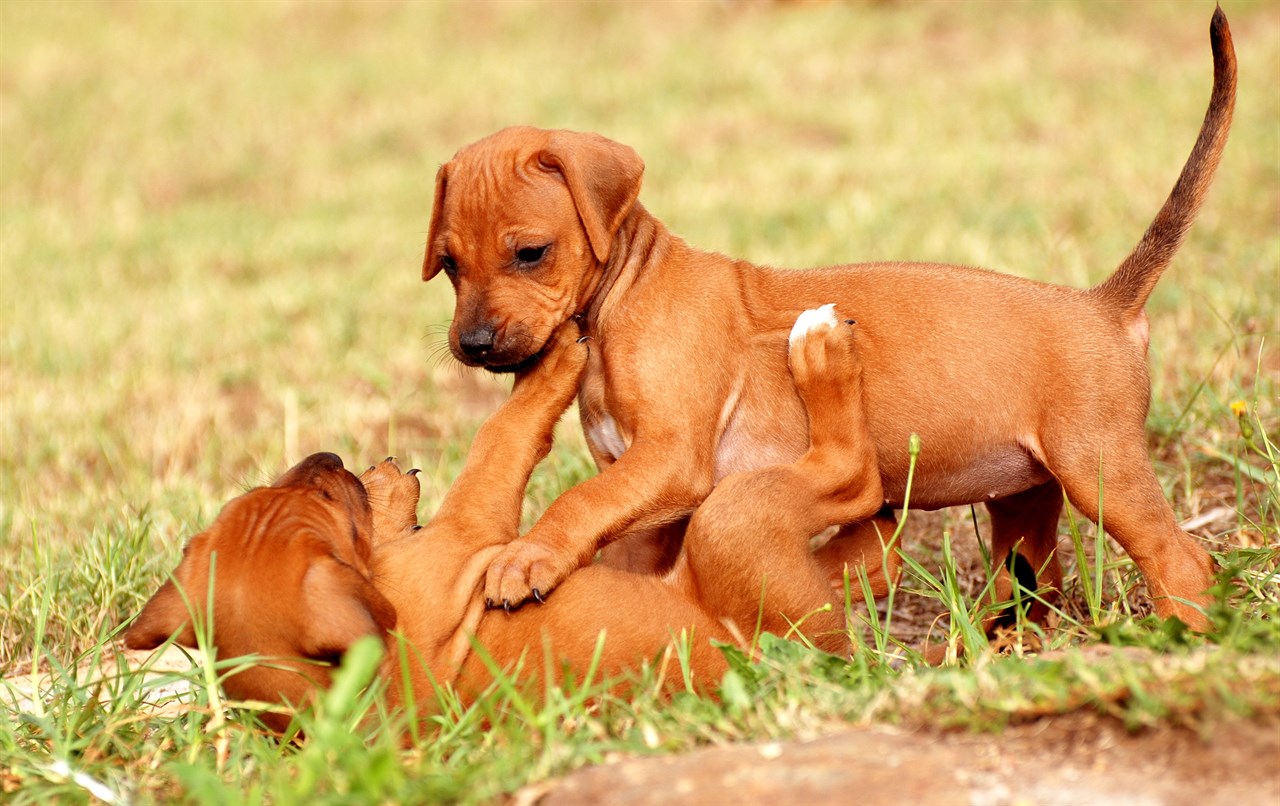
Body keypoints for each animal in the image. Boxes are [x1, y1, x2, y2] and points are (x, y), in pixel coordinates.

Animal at [129, 316, 890, 731]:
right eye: (321, 500)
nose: (328, 459)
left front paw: (384, 491)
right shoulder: (471, 529)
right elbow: (501, 436)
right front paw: (553, 362)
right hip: (736, 523)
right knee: (852, 480)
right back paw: (823, 353)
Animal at [424, 11, 1233, 632]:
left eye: (531, 253)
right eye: (450, 265)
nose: (473, 345)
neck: (621, 297)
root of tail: (1105, 302)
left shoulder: (670, 461)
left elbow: (580, 500)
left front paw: (527, 554)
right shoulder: (645, 495)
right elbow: (619, 538)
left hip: (1100, 469)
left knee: (1182, 560)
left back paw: (1179, 636)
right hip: (1023, 496)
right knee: (1034, 583)